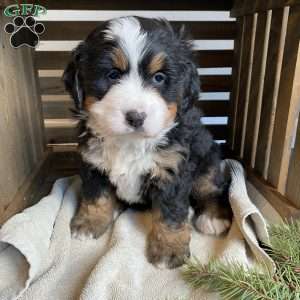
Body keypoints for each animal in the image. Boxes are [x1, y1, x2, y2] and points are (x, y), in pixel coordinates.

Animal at [63, 17, 232, 270]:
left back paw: (213, 217)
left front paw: (168, 249)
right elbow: (95, 195)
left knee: (212, 187)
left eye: (159, 78)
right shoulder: (92, 161)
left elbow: (171, 213)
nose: (136, 117)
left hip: (207, 158)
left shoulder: (172, 169)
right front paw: (90, 222)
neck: (129, 142)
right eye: (112, 75)